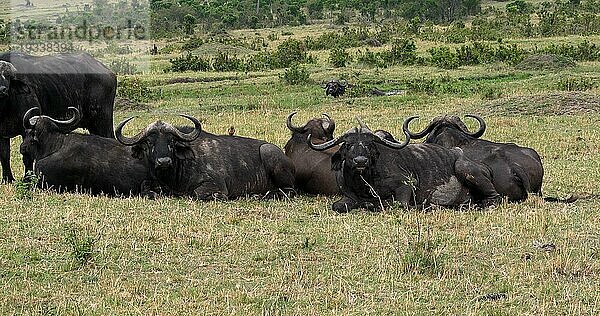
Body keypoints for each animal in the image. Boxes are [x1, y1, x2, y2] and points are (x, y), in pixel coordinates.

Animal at [0, 52, 115, 183]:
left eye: (7, 76)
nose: (2, 90)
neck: (5, 106)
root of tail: (108, 72)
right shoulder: (2, 134)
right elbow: (4, 156)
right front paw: (7, 179)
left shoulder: (27, 129)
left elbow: (27, 156)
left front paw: (27, 179)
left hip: (103, 122)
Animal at [114, 116, 296, 200]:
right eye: (149, 142)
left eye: (171, 141)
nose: (164, 161)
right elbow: (145, 187)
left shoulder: (215, 186)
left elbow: (196, 193)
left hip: (268, 153)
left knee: (289, 191)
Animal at [310, 118, 502, 212]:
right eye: (348, 145)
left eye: (369, 144)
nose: (360, 161)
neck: (365, 182)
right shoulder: (347, 196)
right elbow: (338, 206)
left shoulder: (406, 185)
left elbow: (396, 204)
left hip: (465, 169)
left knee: (494, 198)